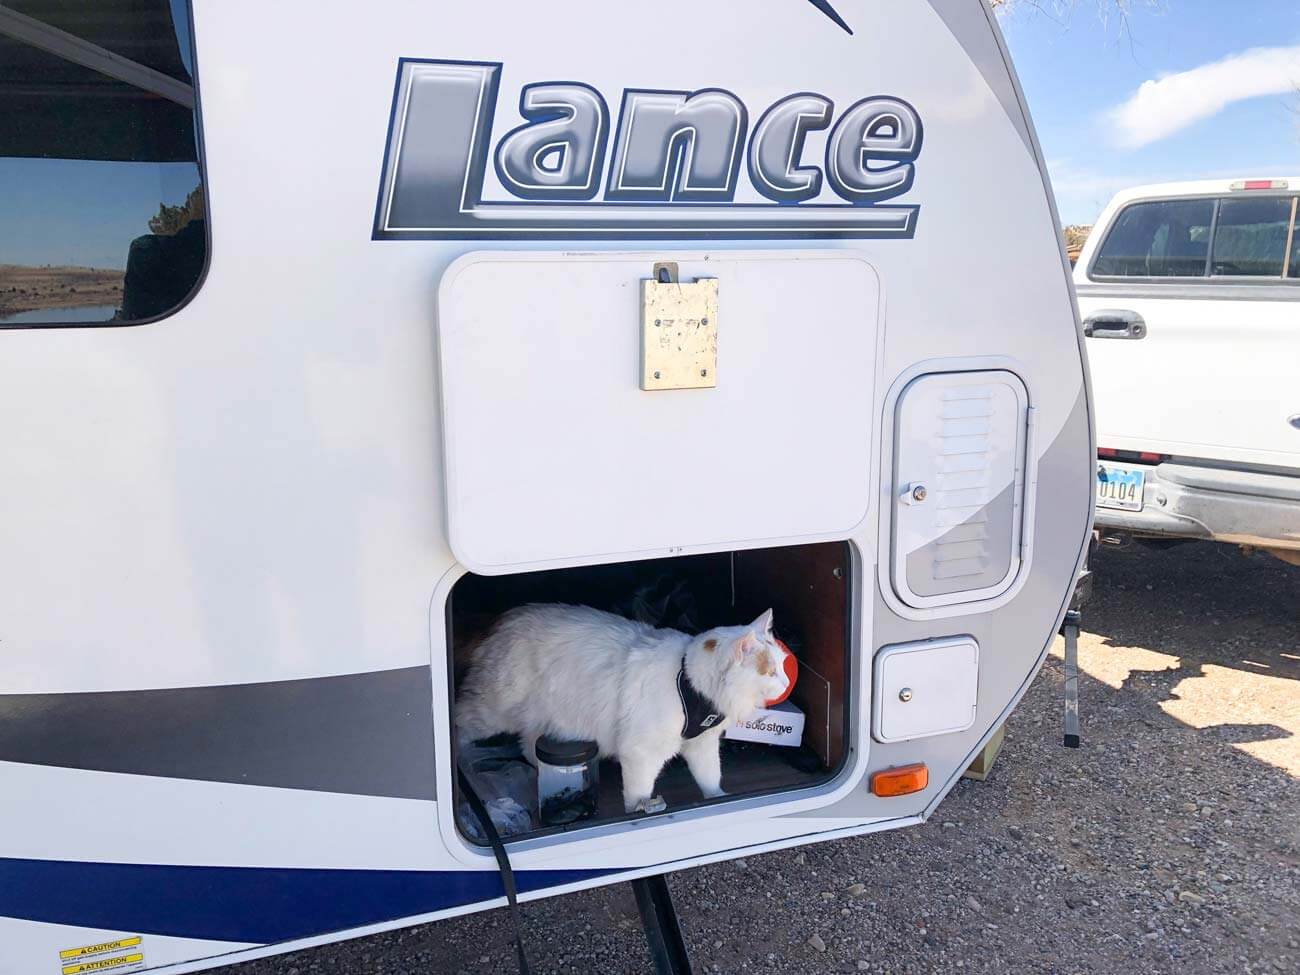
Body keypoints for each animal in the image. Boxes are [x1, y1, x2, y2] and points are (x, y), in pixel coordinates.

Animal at [452, 603, 785, 816]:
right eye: (770, 672)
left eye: (782, 664)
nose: (785, 681)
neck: (688, 681)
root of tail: (504, 619)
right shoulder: (641, 753)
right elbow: (638, 795)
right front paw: (640, 812)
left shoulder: (700, 745)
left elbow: (710, 778)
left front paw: (717, 799)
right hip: (492, 710)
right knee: (460, 723)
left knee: (528, 745)